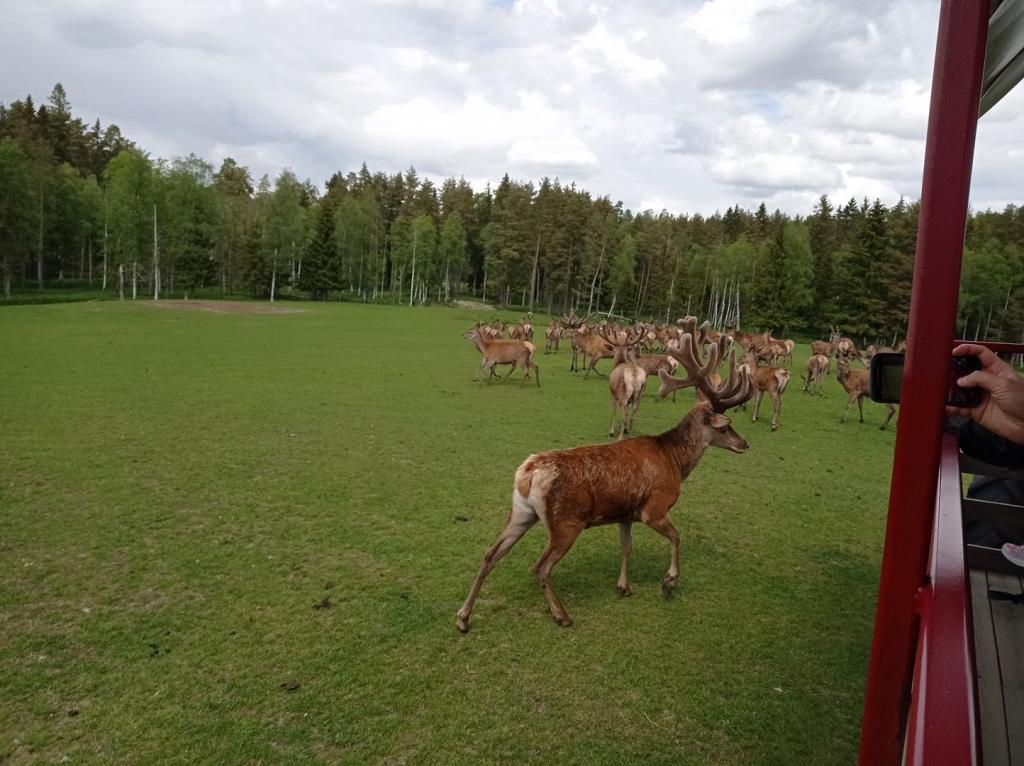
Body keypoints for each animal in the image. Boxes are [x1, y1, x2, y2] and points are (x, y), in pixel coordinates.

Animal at [456, 325, 753, 630]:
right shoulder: (654, 508)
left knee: (490, 554)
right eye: (726, 427)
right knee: (540, 566)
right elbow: (676, 537)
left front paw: (624, 586)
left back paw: (463, 617)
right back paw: (561, 614)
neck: (675, 461)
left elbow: (627, 547)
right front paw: (669, 582)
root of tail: (528, 474)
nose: (744, 444)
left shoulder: (625, 513)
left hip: (521, 512)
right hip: (567, 521)